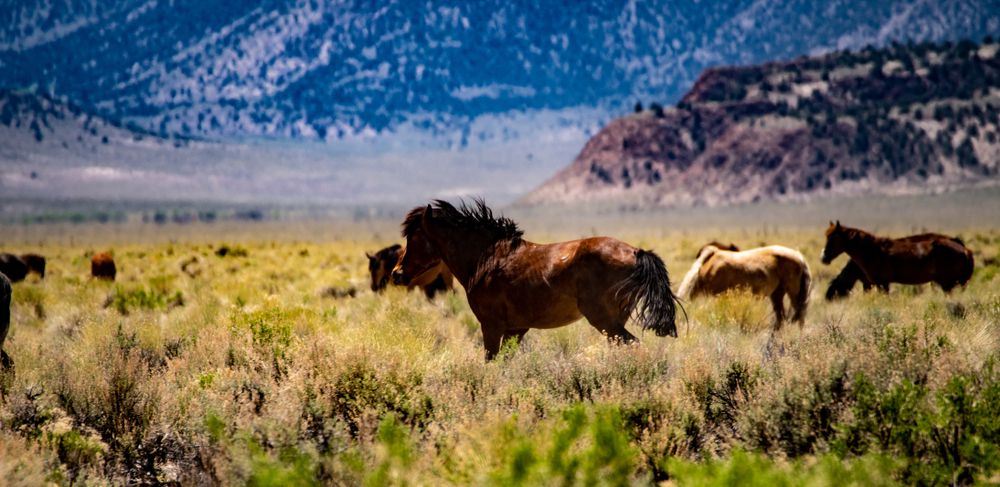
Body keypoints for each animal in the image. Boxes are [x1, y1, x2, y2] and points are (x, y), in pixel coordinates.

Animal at [390, 199, 680, 362]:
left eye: (414, 237)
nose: (396, 273)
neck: (486, 259)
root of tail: (636, 252)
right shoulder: (516, 330)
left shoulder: (491, 327)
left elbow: (491, 361)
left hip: (605, 321)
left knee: (633, 346)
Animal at [820, 222, 976, 294]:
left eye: (833, 238)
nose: (824, 257)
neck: (872, 251)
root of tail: (965, 249)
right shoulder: (875, 283)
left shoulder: (881, 283)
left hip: (948, 284)